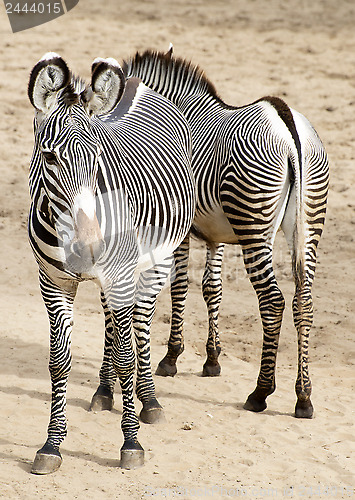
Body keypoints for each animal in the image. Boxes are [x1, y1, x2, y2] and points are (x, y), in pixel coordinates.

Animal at [26, 52, 196, 474]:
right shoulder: (53, 282)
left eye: (99, 157)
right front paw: (51, 445)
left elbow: (126, 358)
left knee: (141, 325)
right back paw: (104, 391)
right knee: (111, 324)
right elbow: (60, 362)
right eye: (50, 157)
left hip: (156, 263)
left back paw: (148, 399)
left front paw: (131, 441)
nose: (90, 245)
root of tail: (135, 81)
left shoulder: (122, 277)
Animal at [108, 48, 328, 420]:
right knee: (304, 302)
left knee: (273, 301)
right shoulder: (218, 235)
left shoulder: (181, 231)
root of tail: (288, 129)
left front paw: (171, 357)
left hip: (254, 228)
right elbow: (212, 289)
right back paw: (304, 397)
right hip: (308, 225)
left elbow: (180, 287)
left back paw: (260, 392)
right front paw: (212, 359)